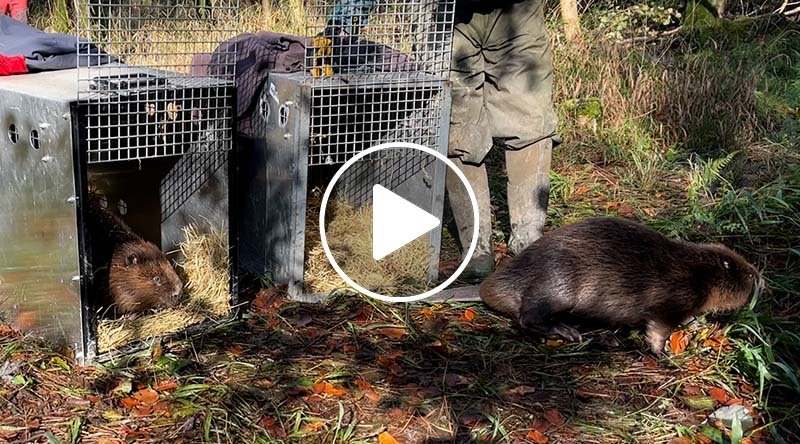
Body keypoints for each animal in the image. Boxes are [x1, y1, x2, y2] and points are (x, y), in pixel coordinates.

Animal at [478, 216, 764, 354]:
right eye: (748, 276)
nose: (760, 279)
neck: (697, 271)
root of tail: (487, 288)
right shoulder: (674, 296)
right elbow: (657, 329)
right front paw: (666, 356)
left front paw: (697, 324)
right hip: (557, 286)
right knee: (527, 317)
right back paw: (567, 331)